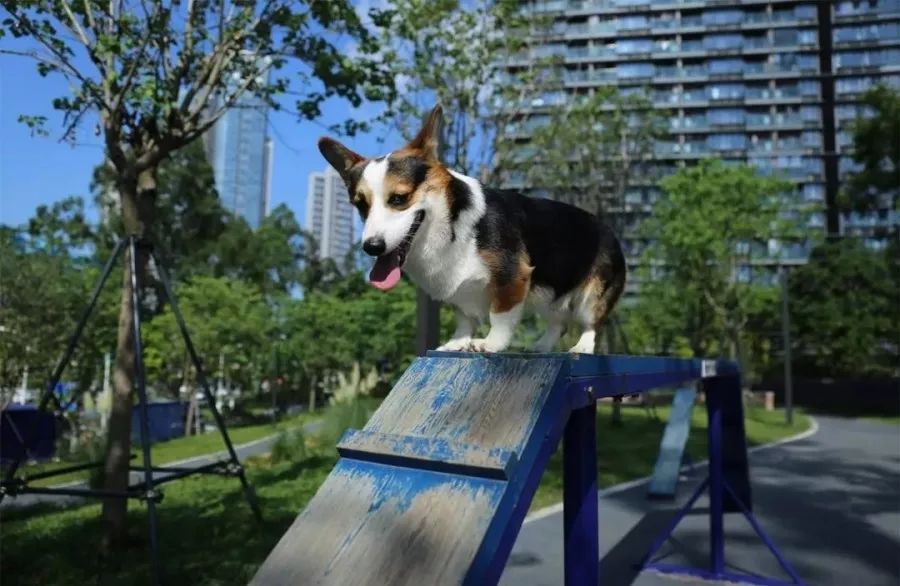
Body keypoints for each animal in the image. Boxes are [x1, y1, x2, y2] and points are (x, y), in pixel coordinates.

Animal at [318, 103, 624, 354]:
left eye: (399, 199)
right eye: (360, 205)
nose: (371, 247)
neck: (449, 222)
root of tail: (608, 228)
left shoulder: (513, 276)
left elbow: (500, 316)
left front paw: (490, 343)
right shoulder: (457, 289)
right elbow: (465, 319)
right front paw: (457, 342)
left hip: (591, 296)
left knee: (591, 323)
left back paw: (582, 346)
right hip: (548, 294)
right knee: (558, 323)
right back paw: (542, 346)